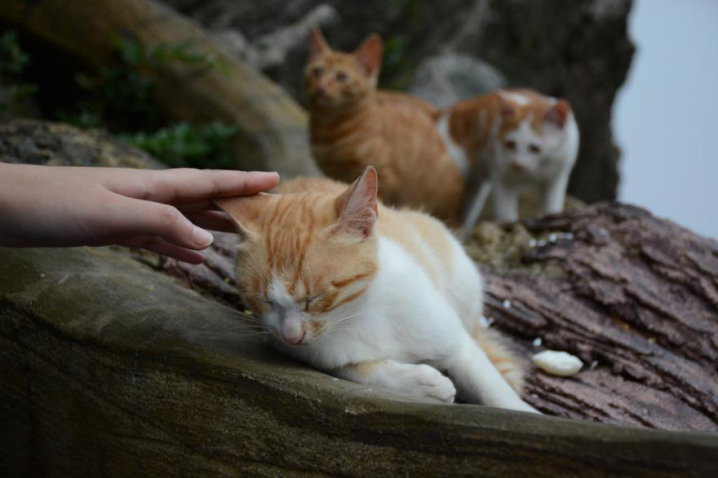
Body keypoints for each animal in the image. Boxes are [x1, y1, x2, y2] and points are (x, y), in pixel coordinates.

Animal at [218, 169, 540, 414]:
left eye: (315, 298)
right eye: (265, 302)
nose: (292, 336)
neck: (359, 312)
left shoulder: (454, 339)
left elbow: (493, 388)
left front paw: (525, 415)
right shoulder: (314, 354)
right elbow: (362, 370)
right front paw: (425, 383)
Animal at [306, 29, 464, 223]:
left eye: (341, 77)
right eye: (316, 72)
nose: (320, 87)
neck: (329, 130)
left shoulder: (385, 175)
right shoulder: (330, 172)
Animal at [438, 89, 584, 228]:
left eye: (535, 148)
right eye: (510, 144)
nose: (518, 165)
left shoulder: (558, 175)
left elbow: (552, 205)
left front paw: (553, 217)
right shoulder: (501, 176)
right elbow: (506, 213)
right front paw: (508, 223)